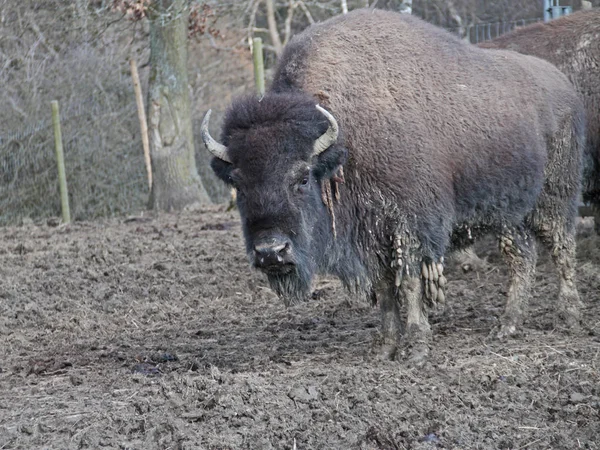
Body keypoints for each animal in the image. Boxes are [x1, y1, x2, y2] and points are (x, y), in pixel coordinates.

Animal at [199, 8, 584, 362]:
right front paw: (383, 346)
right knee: (523, 256)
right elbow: (385, 288)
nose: (271, 252)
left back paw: (567, 316)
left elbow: (409, 282)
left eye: (302, 177)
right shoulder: (370, 236)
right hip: (507, 214)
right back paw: (507, 325)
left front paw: (416, 347)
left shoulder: (407, 227)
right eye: (238, 183)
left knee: (561, 247)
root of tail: (563, 85)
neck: (345, 142)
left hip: (553, 198)